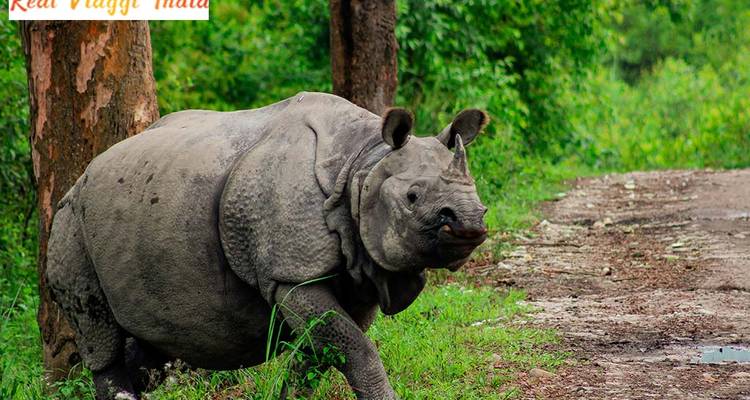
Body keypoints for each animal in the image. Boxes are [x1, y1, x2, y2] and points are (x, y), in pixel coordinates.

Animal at [46, 92, 489, 399]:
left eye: (479, 195)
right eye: (413, 197)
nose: (469, 222)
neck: (362, 165)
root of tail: (81, 177)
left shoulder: (360, 274)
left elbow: (322, 353)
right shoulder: (290, 276)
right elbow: (355, 350)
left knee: (148, 349)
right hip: (69, 224)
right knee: (100, 336)